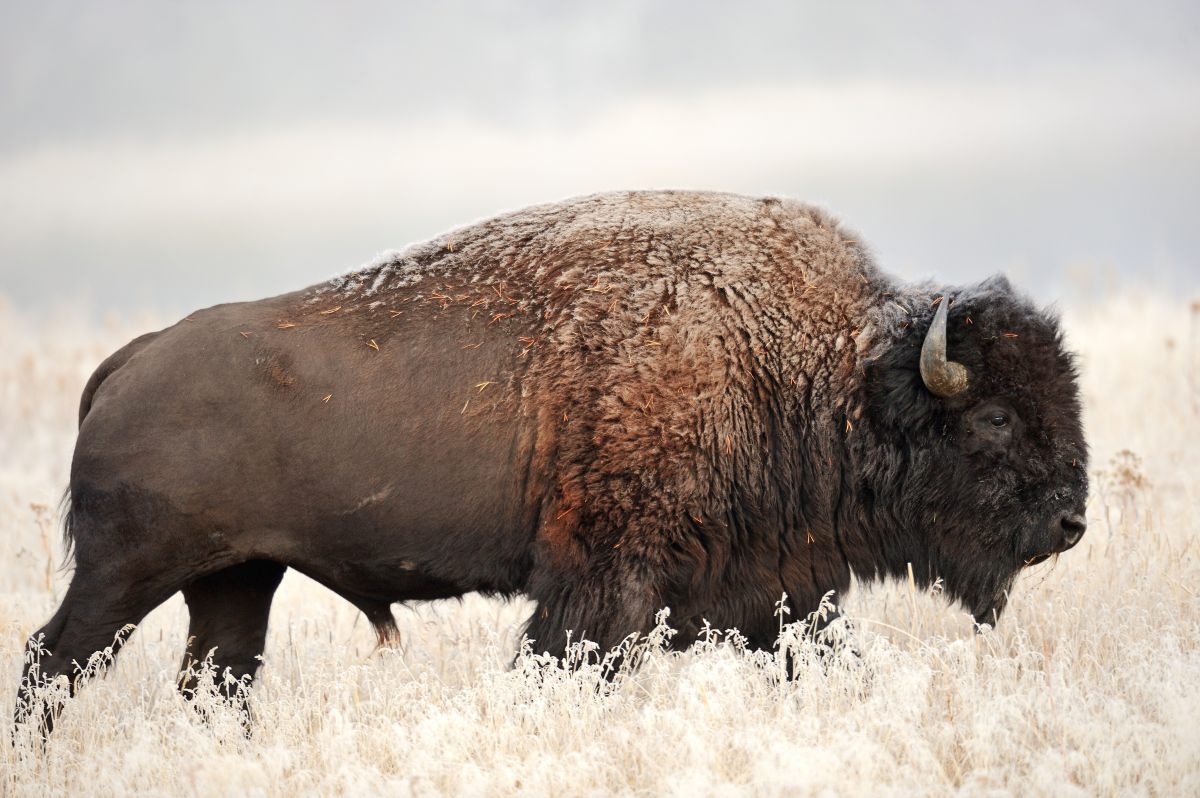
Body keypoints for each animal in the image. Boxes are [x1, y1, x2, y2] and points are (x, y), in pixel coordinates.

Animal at [16, 192, 1089, 729]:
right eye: (996, 417)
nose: (1071, 522)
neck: (807, 365)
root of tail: (125, 362)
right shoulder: (600, 586)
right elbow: (559, 669)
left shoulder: (779, 594)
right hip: (129, 572)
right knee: (51, 662)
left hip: (237, 579)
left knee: (215, 681)